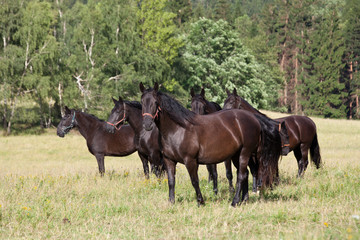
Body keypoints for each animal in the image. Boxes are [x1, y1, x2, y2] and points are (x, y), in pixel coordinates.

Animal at [139, 83, 282, 206]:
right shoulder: (169, 160)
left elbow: (195, 181)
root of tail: (254, 118)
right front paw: (171, 202)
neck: (178, 129)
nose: (147, 124)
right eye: (142, 102)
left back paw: (235, 201)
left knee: (241, 175)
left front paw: (200, 201)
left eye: (155, 103)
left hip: (244, 153)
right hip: (236, 155)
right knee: (245, 174)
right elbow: (171, 181)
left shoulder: (190, 160)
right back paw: (244, 199)